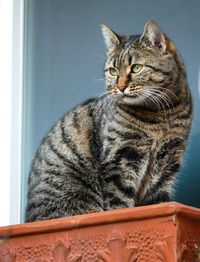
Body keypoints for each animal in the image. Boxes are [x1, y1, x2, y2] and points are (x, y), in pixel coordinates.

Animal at [25, 21, 192, 221]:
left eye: (136, 68)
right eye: (113, 71)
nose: (120, 87)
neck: (159, 116)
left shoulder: (169, 161)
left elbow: (159, 201)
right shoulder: (120, 157)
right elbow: (119, 201)